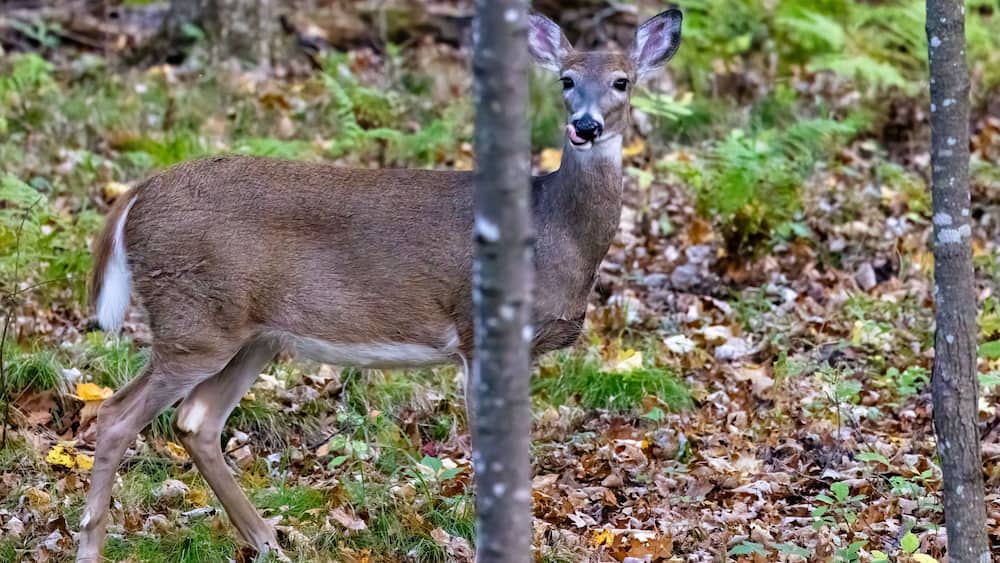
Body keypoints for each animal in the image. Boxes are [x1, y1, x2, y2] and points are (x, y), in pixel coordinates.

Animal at [76, 9, 682, 561]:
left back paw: (269, 541)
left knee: (196, 421)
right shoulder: (477, 331)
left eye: (622, 81)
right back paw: (93, 547)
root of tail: (135, 195)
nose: (586, 127)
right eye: (566, 80)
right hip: (195, 320)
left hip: (253, 335)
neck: (553, 230)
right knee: (115, 415)